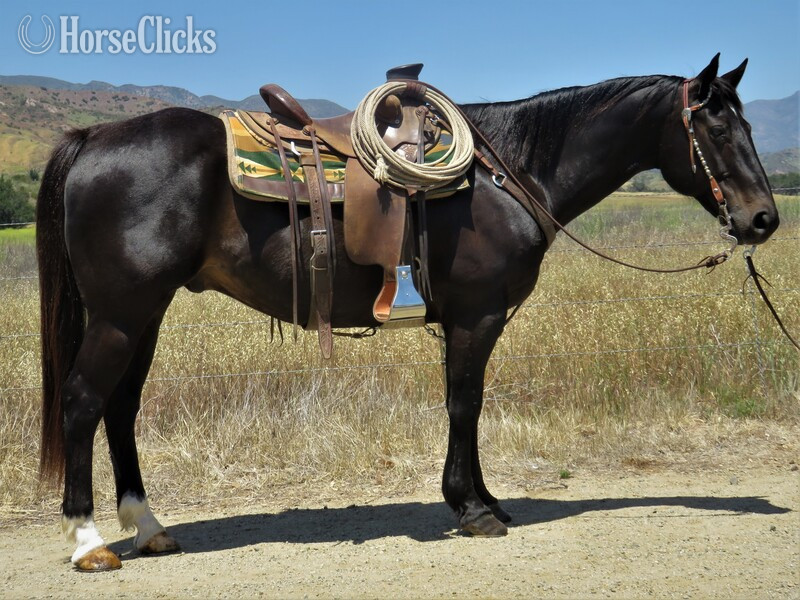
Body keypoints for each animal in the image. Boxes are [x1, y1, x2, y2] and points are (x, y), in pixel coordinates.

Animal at [36, 55, 778, 570]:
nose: (763, 219)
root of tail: (94, 136)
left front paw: (484, 498)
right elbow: (465, 403)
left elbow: (466, 403)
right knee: (82, 402)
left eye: (747, 123)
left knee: (120, 408)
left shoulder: (468, 322)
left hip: (144, 315)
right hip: (121, 315)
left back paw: (150, 528)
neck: (510, 174)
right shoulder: (477, 317)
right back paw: (89, 541)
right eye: (716, 126)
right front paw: (473, 508)